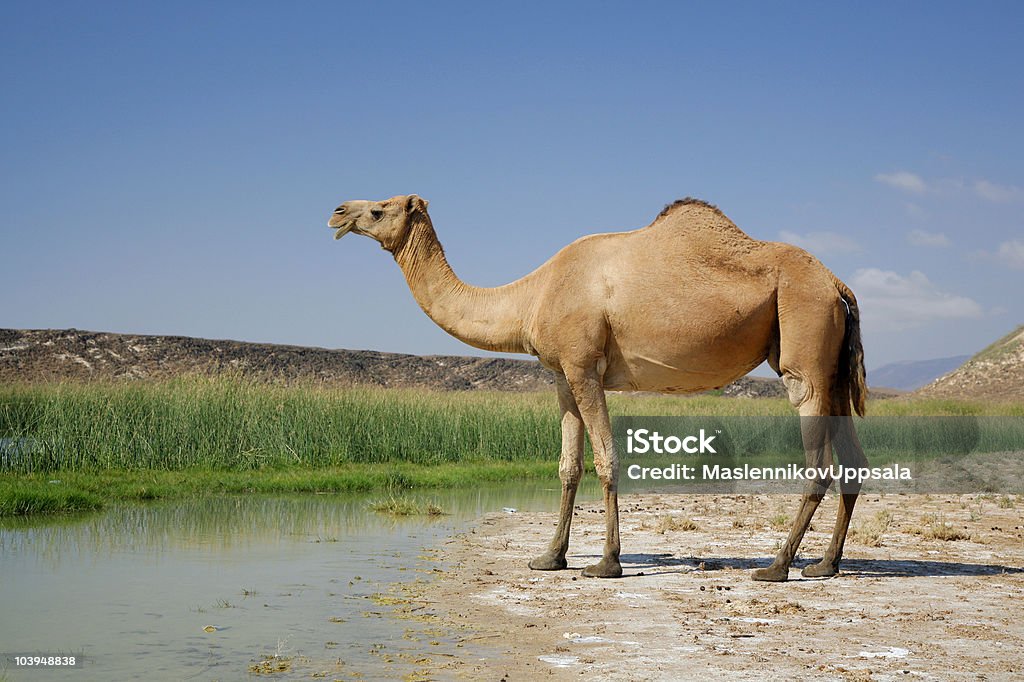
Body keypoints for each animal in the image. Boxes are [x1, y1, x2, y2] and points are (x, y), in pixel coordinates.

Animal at [325, 195, 864, 577]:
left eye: (378, 208)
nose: (337, 212)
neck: (532, 296)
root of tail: (838, 283)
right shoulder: (561, 375)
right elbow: (569, 465)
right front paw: (550, 557)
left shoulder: (585, 366)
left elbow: (607, 458)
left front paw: (607, 562)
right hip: (832, 363)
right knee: (851, 457)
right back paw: (825, 564)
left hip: (804, 340)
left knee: (816, 452)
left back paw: (777, 566)